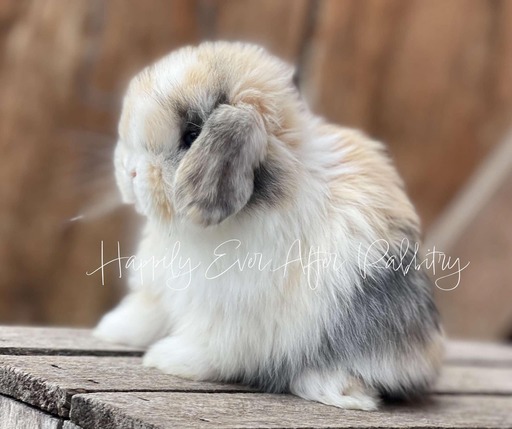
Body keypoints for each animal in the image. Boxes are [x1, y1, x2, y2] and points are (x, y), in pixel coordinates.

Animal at [95, 41, 444, 410]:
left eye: (192, 136)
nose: (130, 172)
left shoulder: (230, 311)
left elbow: (212, 344)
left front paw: (167, 358)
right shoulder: (162, 289)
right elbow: (148, 312)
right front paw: (112, 329)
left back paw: (339, 390)